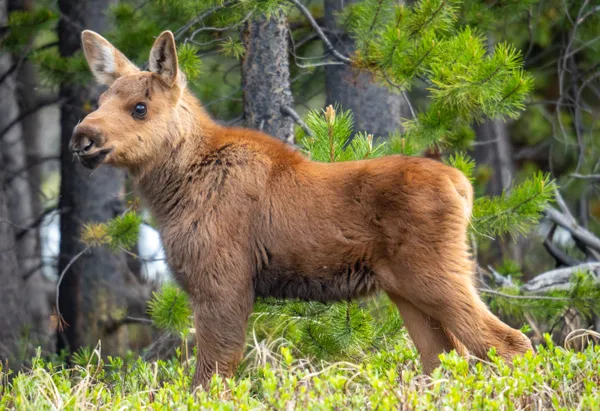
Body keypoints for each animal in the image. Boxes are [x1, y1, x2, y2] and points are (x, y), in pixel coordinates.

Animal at [70, 29, 536, 390]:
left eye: (140, 107)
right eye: (101, 98)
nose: (81, 137)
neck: (171, 194)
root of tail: (462, 186)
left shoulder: (223, 282)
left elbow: (211, 377)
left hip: (435, 273)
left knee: (509, 343)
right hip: (406, 288)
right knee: (444, 360)